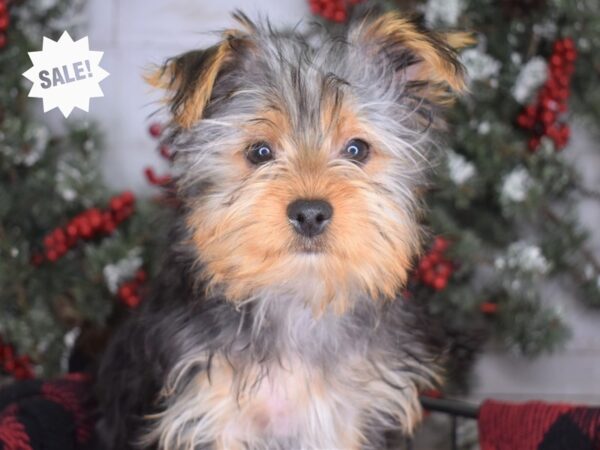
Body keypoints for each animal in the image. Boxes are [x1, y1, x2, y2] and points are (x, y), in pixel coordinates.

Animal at [98, 7, 472, 450]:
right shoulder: (210, 412)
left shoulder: (346, 417)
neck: (298, 296)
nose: (310, 213)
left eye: (357, 149)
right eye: (260, 153)